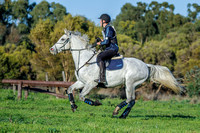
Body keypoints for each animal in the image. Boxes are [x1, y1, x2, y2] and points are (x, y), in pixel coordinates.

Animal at [49, 29, 184, 118]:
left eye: (62, 39)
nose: (51, 49)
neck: (85, 59)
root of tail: (146, 65)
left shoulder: (91, 84)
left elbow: (82, 96)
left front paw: (96, 103)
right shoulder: (81, 82)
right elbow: (69, 90)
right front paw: (73, 106)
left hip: (130, 83)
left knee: (130, 99)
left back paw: (117, 111)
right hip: (131, 84)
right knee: (132, 101)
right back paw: (122, 114)